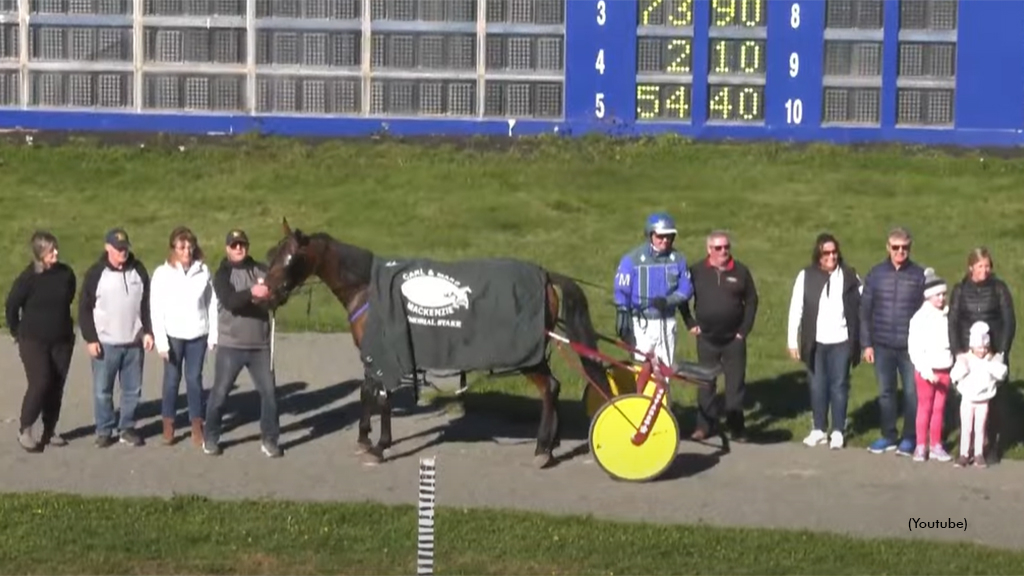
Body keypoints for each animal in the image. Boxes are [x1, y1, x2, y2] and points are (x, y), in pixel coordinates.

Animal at [260, 218, 610, 467]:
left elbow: (382, 398)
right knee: (554, 387)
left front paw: (381, 445)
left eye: (291, 259)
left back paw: (542, 448)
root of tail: (546, 276)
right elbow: (366, 392)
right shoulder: (371, 355)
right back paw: (552, 443)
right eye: (271, 254)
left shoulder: (388, 355)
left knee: (549, 388)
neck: (370, 292)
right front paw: (364, 437)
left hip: (528, 356)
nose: (267, 293)